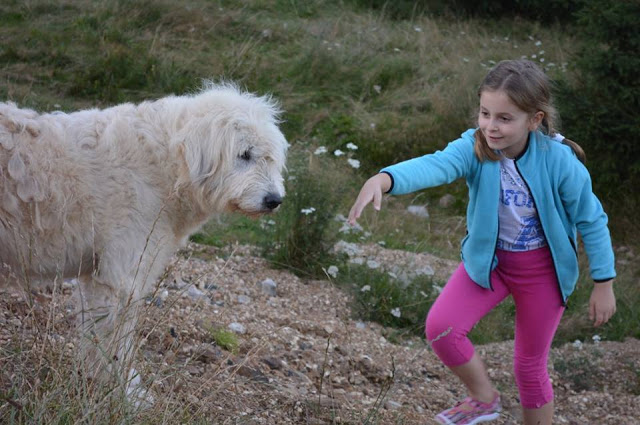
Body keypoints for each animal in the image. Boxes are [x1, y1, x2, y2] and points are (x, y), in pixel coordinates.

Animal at [0, 82, 288, 394]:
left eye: (270, 157)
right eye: (245, 154)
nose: (275, 200)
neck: (166, 164)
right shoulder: (121, 277)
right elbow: (115, 342)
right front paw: (121, 390)